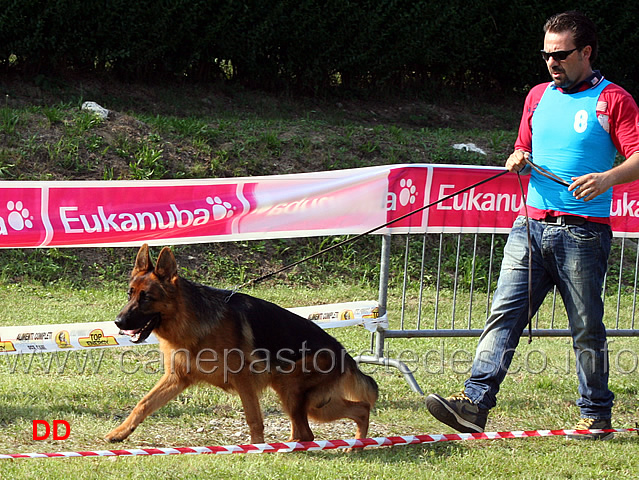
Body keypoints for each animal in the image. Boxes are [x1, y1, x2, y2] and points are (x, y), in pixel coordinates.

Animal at [102, 246, 378, 444]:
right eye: (129, 294)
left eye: (146, 298)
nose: (118, 322)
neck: (189, 319)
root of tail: (344, 354)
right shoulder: (177, 379)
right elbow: (143, 404)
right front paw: (120, 432)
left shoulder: (244, 381)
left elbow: (254, 419)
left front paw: (255, 448)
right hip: (310, 402)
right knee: (355, 411)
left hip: (295, 394)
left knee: (316, 428)